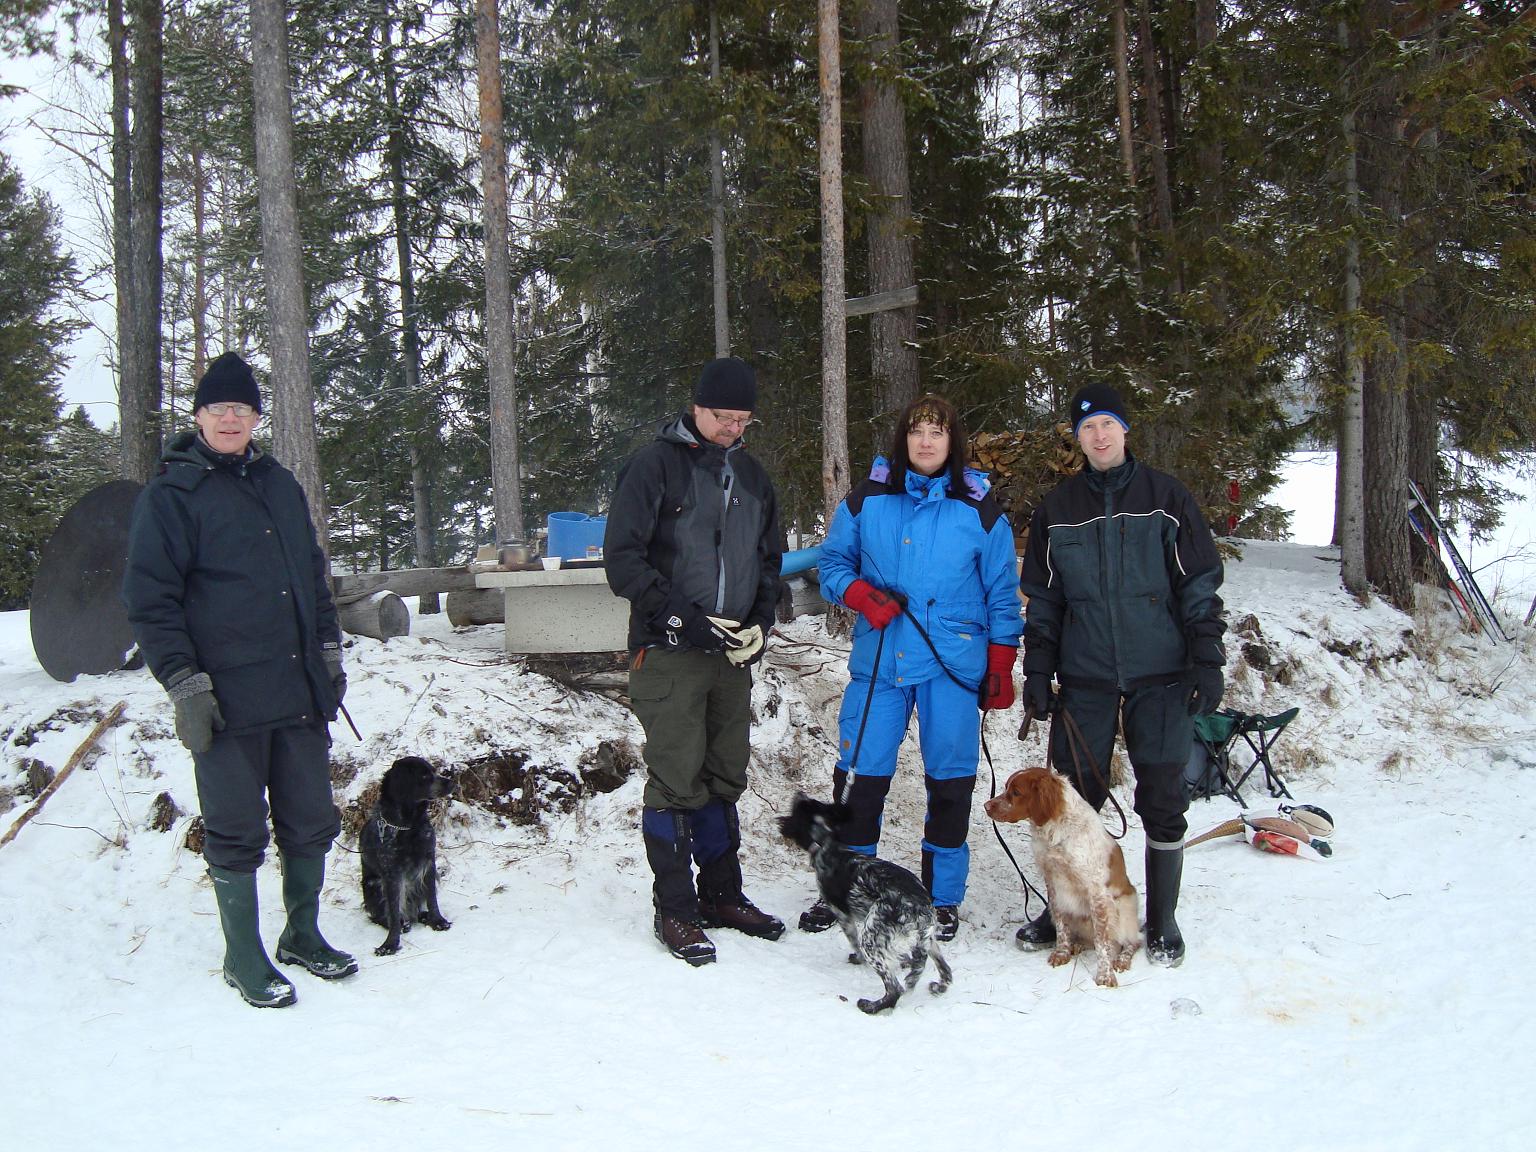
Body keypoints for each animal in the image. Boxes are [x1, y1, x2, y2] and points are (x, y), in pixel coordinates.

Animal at [361, 756, 454, 956]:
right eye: (424, 775)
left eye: (433, 771)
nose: (452, 782)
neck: (408, 825)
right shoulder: (391, 873)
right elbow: (394, 912)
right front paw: (390, 944)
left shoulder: (429, 862)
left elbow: (432, 899)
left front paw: (438, 921)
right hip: (373, 884)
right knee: (380, 916)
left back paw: (423, 916)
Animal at [778, 793, 952, 1014]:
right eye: (814, 802)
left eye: (799, 807)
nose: (799, 793)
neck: (828, 845)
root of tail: (920, 909)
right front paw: (903, 960)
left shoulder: (843, 915)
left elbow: (853, 941)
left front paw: (858, 959)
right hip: (929, 940)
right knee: (946, 971)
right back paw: (939, 986)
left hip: (871, 938)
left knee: (894, 988)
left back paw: (871, 1006)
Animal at [985, 767, 1139, 987]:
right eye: (1006, 787)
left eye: (1016, 792)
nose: (986, 806)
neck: (1056, 832)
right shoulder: (1053, 883)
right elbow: (1061, 925)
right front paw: (1062, 953)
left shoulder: (1097, 893)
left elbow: (1102, 942)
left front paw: (1104, 975)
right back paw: (1078, 945)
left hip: (1125, 907)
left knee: (1133, 942)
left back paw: (1122, 959)